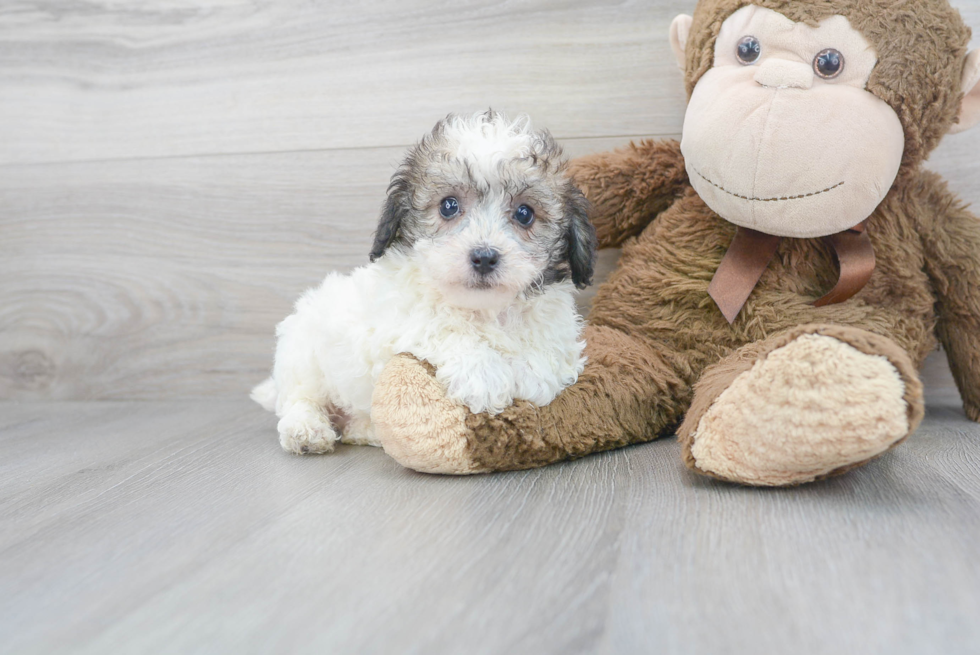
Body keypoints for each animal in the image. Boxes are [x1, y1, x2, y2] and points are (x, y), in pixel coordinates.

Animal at [253, 109, 596, 456]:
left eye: (525, 213)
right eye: (448, 205)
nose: (484, 257)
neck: (485, 311)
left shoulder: (557, 327)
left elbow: (547, 353)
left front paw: (530, 373)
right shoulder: (398, 320)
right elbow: (443, 327)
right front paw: (483, 375)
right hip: (302, 354)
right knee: (299, 399)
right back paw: (306, 430)